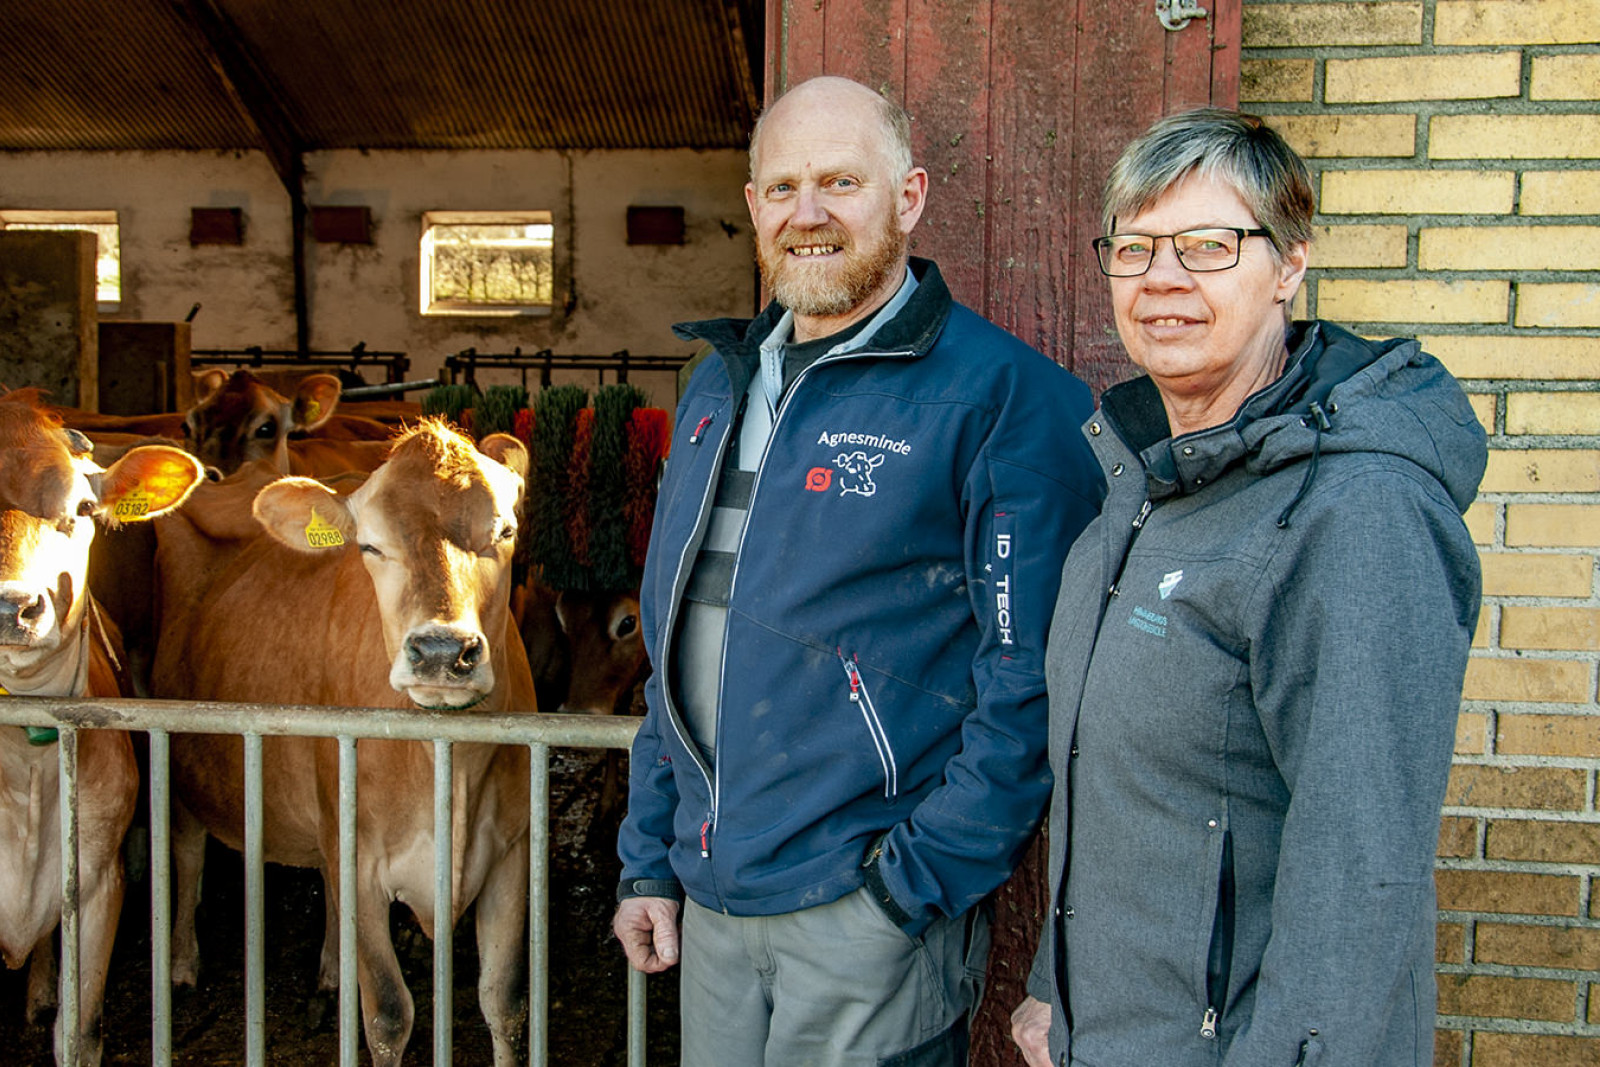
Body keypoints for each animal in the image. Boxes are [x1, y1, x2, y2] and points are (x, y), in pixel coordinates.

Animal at [159, 419, 540, 1067]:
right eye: (369, 546)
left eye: (505, 532)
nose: (442, 652)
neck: (449, 770)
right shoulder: (360, 864)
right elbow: (387, 1014)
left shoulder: (510, 856)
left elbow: (505, 1000)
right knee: (186, 852)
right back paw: (183, 962)